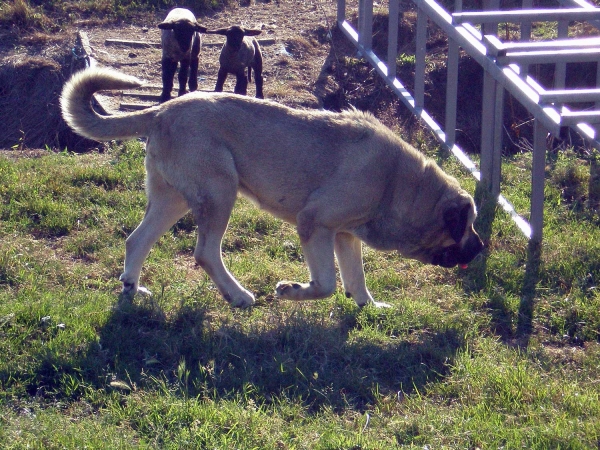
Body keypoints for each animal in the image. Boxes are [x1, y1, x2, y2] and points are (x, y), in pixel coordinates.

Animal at [61, 67, 482, 310]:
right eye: (466, 225)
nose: (481, 248)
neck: (401, 184)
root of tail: (162, 110)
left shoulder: (345, 236)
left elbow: (356, 279)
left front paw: (369, 306)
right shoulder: (314, 224)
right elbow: (326, 284)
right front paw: (291, 290)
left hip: (173, 201)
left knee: (137, 240)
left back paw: (133, 289)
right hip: (220, 193)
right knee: (205, 253)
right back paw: (238, 296)